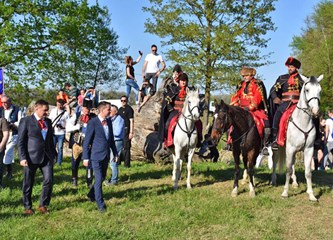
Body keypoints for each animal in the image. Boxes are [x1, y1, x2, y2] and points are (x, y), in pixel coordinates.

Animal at [272, 74, 322, 202]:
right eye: (307, 90)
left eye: (319, 90)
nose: (315, 111)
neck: (303, 121)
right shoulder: (290, 148)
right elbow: (288, 170)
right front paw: (285, 192)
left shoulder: (308, 149)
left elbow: (308, 172)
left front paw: (311, 194)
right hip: (278, 148)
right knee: (274, 161)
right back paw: (273, 180)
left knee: (293, 164)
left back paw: (294, 182)